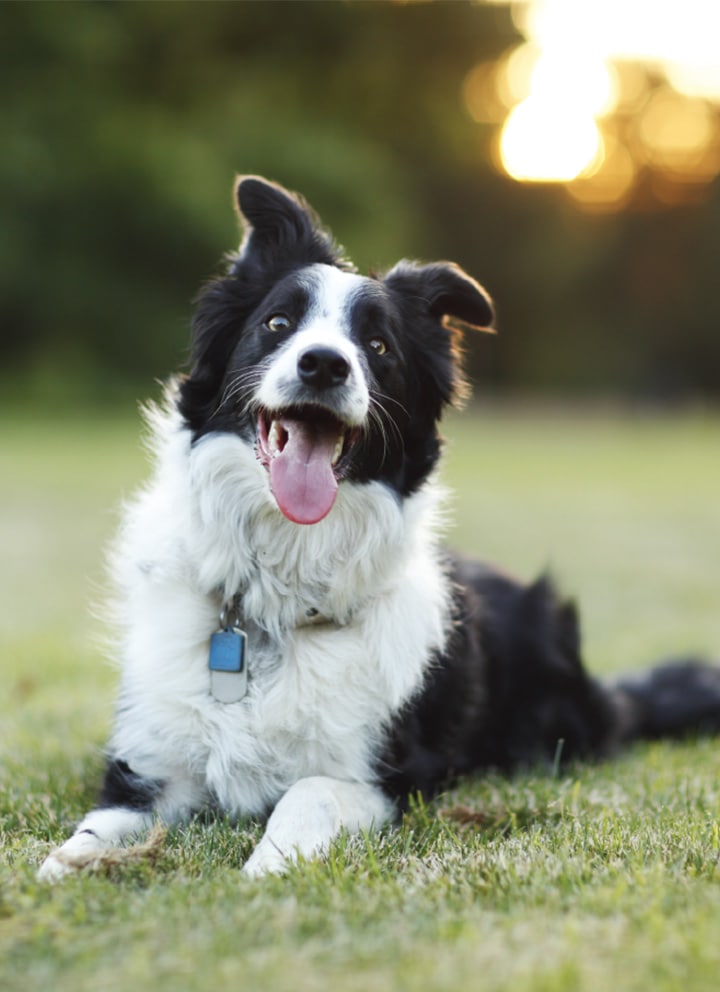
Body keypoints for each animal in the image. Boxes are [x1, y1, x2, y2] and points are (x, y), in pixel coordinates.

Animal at [39, 174, 720, 880]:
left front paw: (263, 869)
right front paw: (67, 870)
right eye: (277, 323)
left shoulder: (394, 777)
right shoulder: (147, 768)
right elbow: (93, 830)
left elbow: (309, 790)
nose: (323, 364)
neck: (275, 601)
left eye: (378, 345)